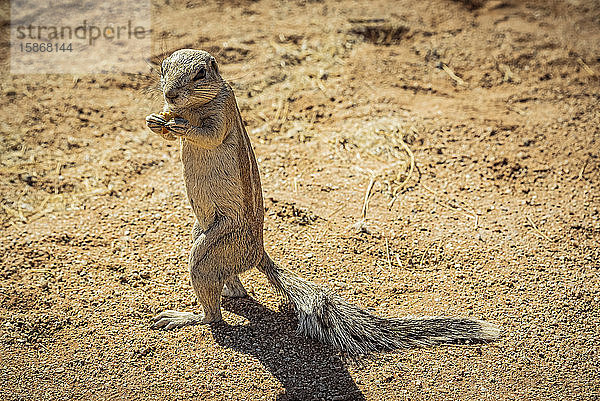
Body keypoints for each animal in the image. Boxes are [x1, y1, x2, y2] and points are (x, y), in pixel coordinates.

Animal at [144, 50, 496, 356]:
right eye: (162, 68)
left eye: (200, 74)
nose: (170, 95)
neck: (193, 106)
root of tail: (259, 253)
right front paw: (156, 121)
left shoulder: (222, 114)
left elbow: (208, 134)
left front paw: (180, 125)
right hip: (199, 230)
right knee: (234, 284)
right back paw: (229, 293)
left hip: (207, 252)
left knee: (213, 315)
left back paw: (184, 316)